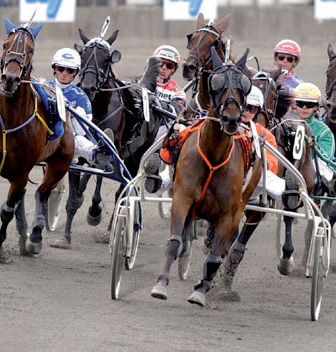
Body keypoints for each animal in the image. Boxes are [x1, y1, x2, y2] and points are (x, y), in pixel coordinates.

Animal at [0, 17, 74, 258]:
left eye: (30, 50)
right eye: (5, 45)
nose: (10, 79)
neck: (9, 122)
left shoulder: (21, 173)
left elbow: (7, 210)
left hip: (60, 163)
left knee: (42, 192)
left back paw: (35, 235)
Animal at [56, 19, 163, 245]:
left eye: (106, 59)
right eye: (83, 56)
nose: (88, 86)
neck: (97, 108)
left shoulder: (115, 152)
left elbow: (102, 183)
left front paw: (95, 211)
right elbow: (74, 193)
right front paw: (65, 236)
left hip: (136, 156)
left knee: (122, 190)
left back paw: (109, 229)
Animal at [150, 48, 262, 306]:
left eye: (245, 84)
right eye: (216, 82)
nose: (231, 118)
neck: (213, 154)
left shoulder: (229, 213)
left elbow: (214, 256)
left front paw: (201, 290)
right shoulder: (182, 197)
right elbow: (174, 241)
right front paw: (161, 284)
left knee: (224, 249)